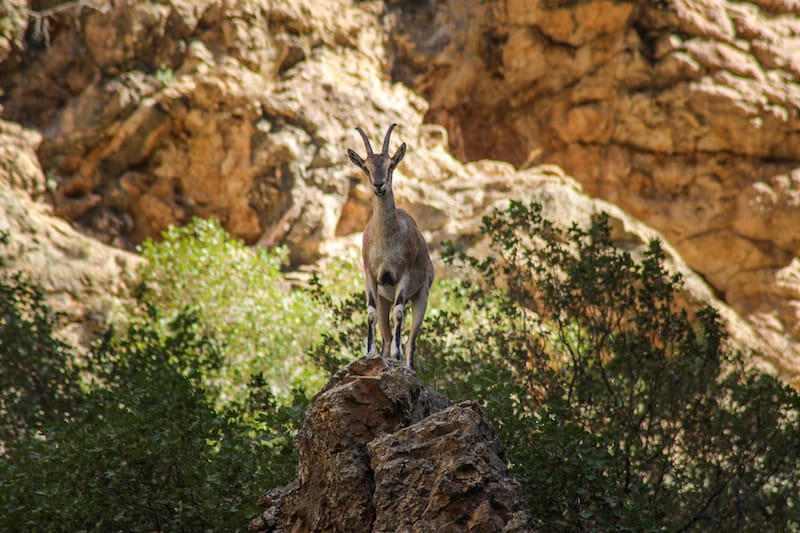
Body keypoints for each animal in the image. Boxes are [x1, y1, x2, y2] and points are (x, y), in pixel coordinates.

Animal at [346, 122, 434, 368]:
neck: (386, 239)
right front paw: (368, 353)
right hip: (385, 296)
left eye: (391, 165)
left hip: (421, 296)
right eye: (366, 168)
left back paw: (404, 363)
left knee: (411, 341)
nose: (379, 185)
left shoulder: (403, 274)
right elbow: (371, 313)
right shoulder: (370, 274)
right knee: (386, 333)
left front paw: (396, 354)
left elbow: (399, 313)